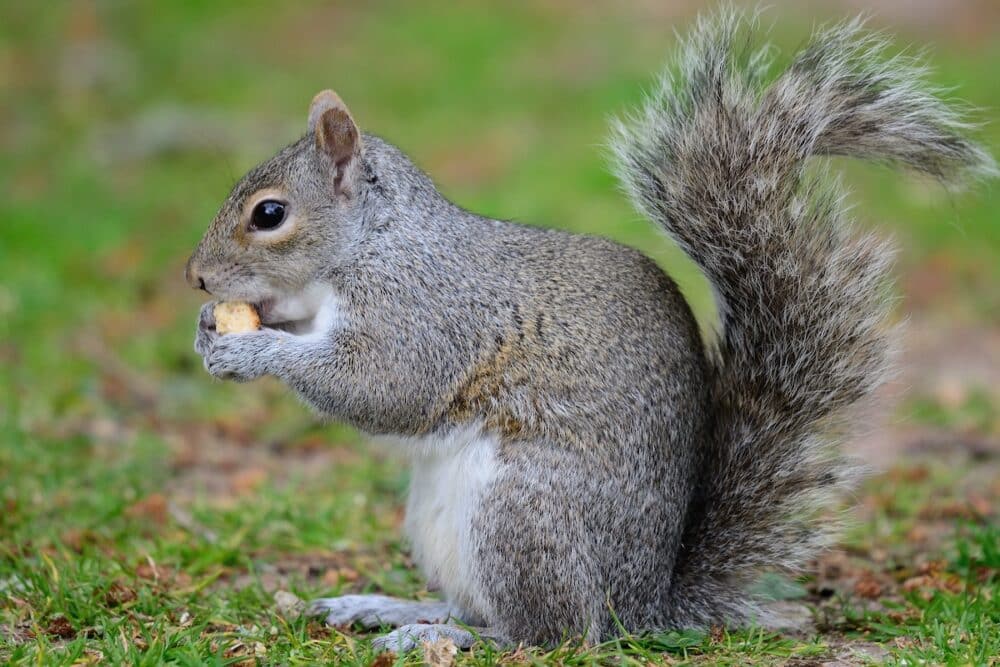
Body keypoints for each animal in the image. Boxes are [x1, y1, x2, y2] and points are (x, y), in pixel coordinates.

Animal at [186, 10, 992, 656]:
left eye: (269, 214)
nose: (195, 277)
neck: (374, 244)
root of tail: (642, 604)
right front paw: (215, 331)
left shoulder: (425, 310)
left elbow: (384, 388)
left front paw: (252, 347)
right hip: (443, 520)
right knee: (487, 608)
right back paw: (392, 604)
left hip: (523, 513)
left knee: (549, 634)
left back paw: (440, 635)